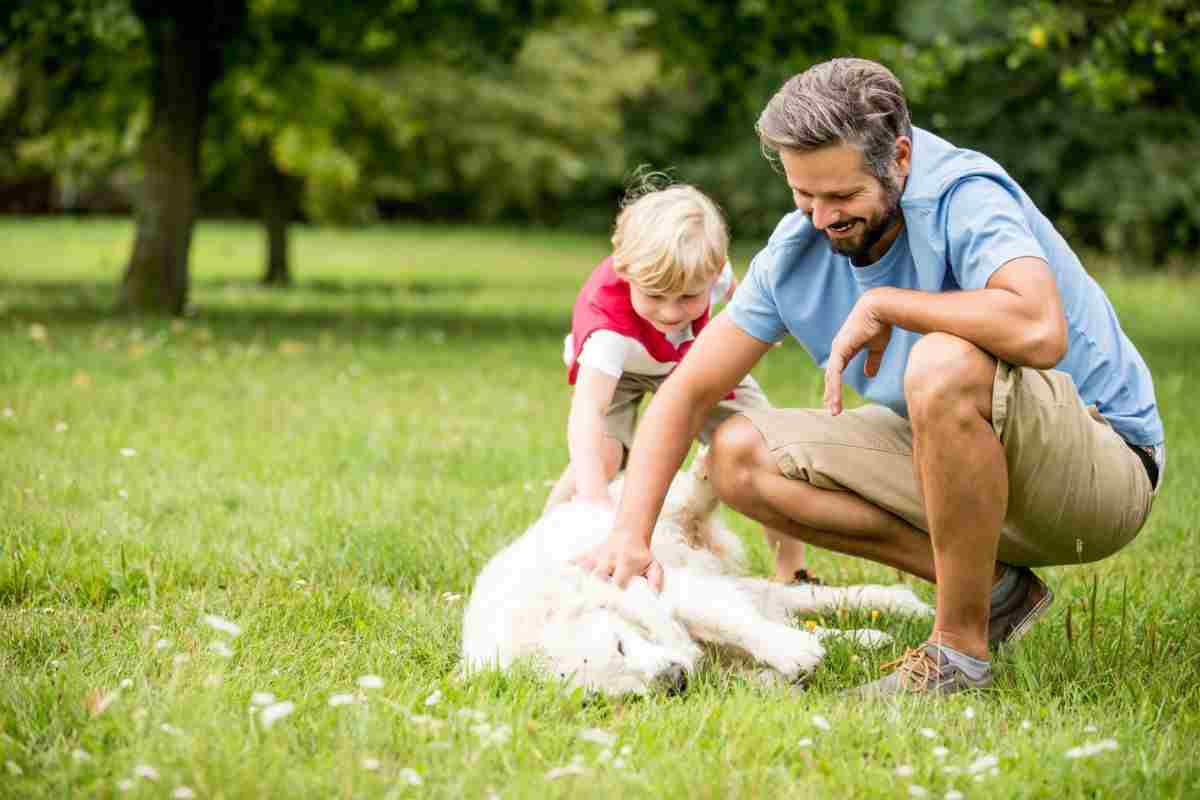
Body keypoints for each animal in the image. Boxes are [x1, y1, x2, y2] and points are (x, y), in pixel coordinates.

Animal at [463, 455, 931, 695]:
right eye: (616, 693)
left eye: (619, 646)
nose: (673, 682)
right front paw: (792, 663)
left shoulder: (658, 587)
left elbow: (734, 623)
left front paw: (791, 653)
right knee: (801, 606)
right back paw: (879, 628)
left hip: (660, 515)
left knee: (691, 496)